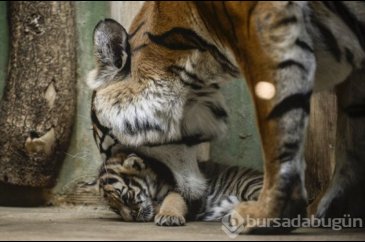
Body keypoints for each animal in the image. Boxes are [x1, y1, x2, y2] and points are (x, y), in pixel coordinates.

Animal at [88, 1, 364, 233]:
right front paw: (330, 208)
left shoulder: (267, 32)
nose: (133, 217)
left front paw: (266, 216)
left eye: (108, 147)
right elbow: (349, 139)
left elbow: (279, 136)